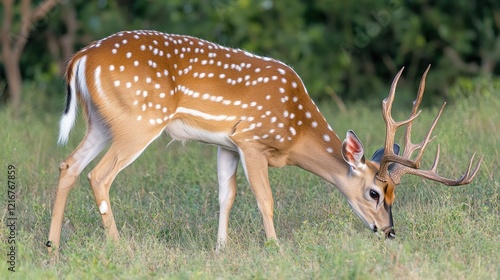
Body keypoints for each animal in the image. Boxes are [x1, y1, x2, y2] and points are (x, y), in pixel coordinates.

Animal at [47, 29, 480, 253]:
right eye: (375, 192)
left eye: (393, 194)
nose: (389, 231)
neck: (295, 130)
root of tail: (80, 59)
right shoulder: (252, 140)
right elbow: (264, 198)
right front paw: (275, 247)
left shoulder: (226, 143)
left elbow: (226, 195)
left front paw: (221, 250)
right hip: (139, 121)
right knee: (99, 176)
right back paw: (119, 246)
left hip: (102, 123)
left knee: (69, 165)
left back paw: (52, 247)